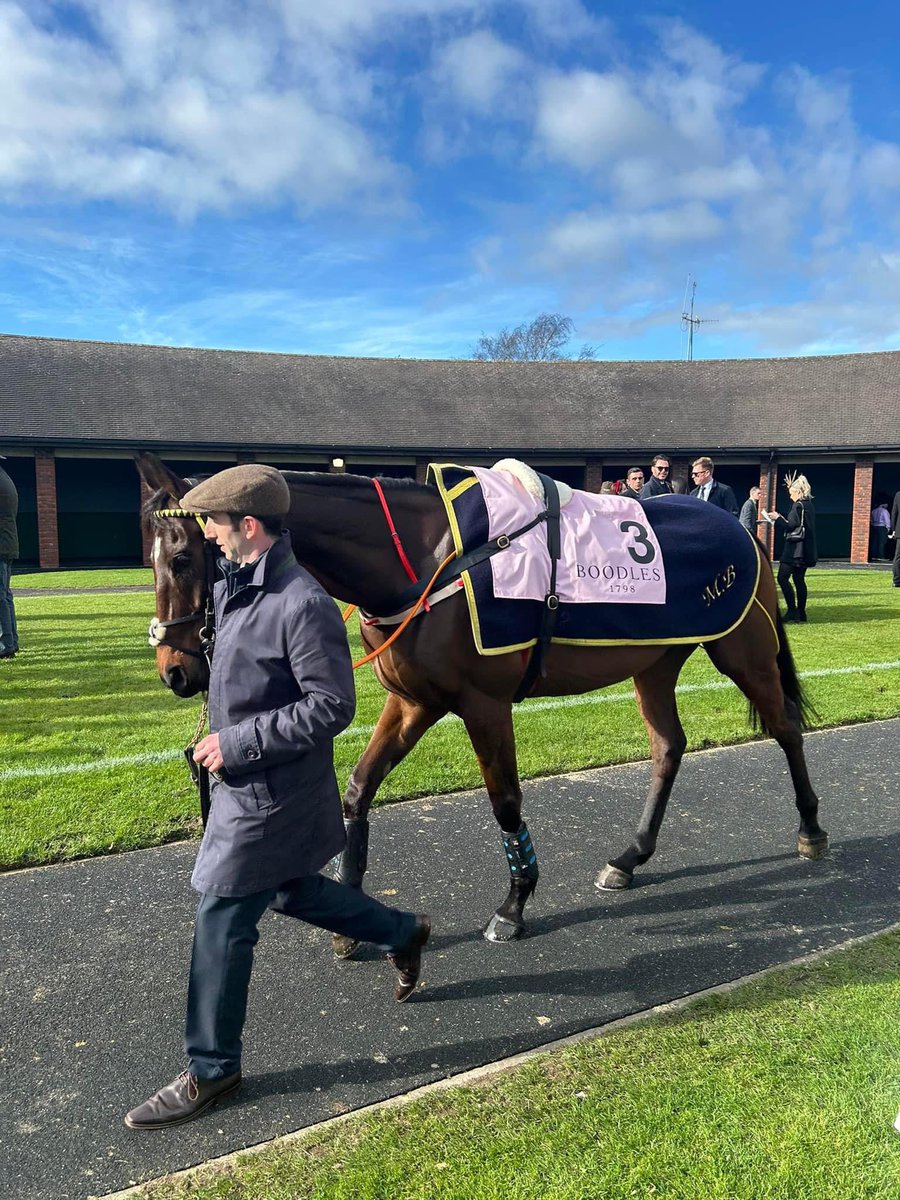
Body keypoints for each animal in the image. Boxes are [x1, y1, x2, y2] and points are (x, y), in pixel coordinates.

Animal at [139, 453, 830, 950]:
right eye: (151, 559)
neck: (432, 560)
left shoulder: (484, 703)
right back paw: (629, 857)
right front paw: (352, 920)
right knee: (668, 747)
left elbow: (505, 802)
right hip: (654, 663)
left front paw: (515, 904)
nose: (175, 670)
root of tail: (743, 528)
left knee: (784, 728)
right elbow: (358, 790)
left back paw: (811, 830)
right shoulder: (413, 702)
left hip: (742, 650)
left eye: (183, 557)